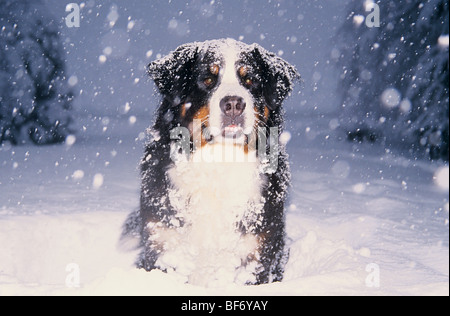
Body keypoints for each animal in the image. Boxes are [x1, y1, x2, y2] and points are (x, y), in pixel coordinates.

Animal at [123, 37, 298, 286]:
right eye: (208, 79)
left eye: (250, 80)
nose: (233, 103)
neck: (220, 161)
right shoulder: (163, 243)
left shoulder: (259, 255)